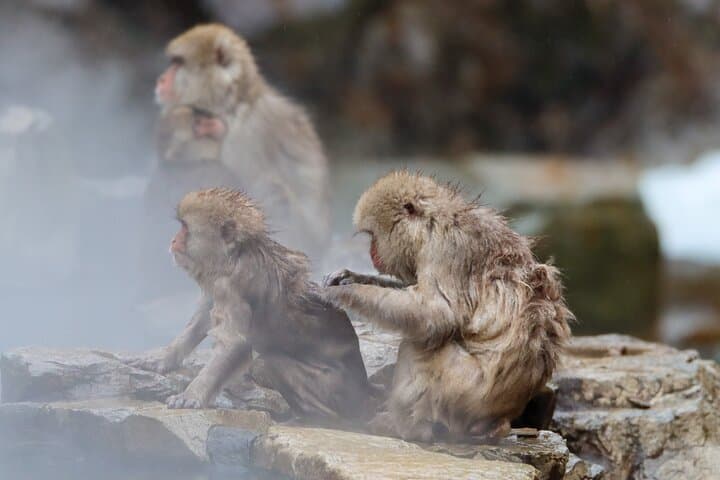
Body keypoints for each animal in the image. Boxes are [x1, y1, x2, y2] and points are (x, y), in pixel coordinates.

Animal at [130, 188, 372, 420]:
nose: (173, 240)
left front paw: (192, 395)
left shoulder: (230, 287)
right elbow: (203, 319)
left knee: (268, 362)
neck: (234, 255)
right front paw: (162, 358)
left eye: (185, 228)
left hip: (334, 390)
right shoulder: (216, 283)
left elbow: (234, 342)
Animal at [323, 171, 573, 442]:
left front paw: (347, 292)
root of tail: (503, 416)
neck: (433, 222)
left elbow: (437, 314)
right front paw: (349, 277)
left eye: (372, 236)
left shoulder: (447, 248)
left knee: (420, 345)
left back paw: (408, 428)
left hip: (466, 390)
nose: (371, 252)